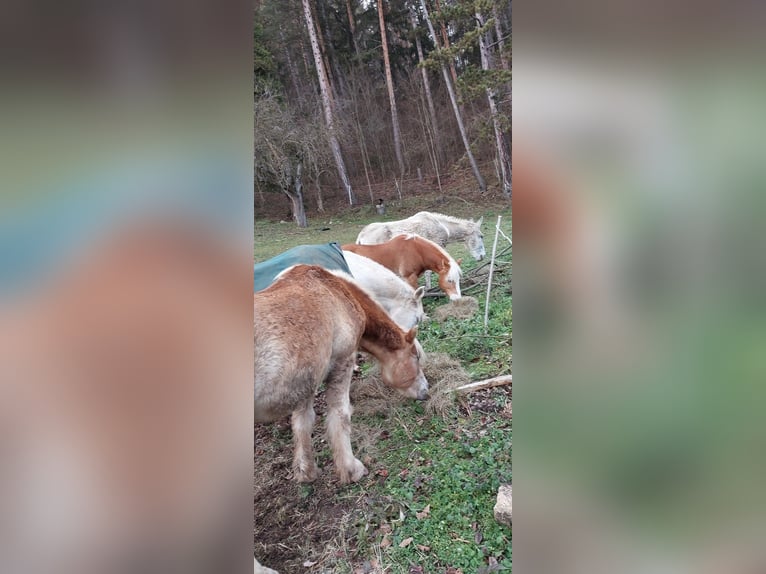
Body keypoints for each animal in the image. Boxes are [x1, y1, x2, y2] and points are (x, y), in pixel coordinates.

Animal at [255, 266, 428, 486]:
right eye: (416, 357)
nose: (426, 392)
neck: (336, 290)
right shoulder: (342, 362)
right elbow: (340, 414)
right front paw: (351, 469)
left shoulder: (307, 380)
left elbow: (303, 422)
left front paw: (306, 471)